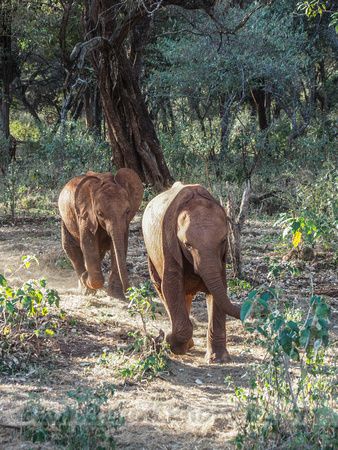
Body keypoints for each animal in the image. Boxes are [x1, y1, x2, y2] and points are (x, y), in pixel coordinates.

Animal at [58, 169, 143, 298]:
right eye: (100, 214)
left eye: (128, 211)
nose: (128, 291)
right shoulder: (85, 216)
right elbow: (88, 245)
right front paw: (85, 277)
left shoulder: (126, 223)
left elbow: (120, 245)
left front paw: (117, 296)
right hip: (65, 219)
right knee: (71, 249)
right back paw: (85, 287)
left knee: (99, 253)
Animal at [142, 181, 240, 364]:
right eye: (187, 244)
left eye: (224, 240)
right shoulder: (168, 244)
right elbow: (171, 287)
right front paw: (171, 343)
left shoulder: (221, 259)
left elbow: (219, 290)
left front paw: (218, 359)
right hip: (151, 255)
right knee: (163, 290)